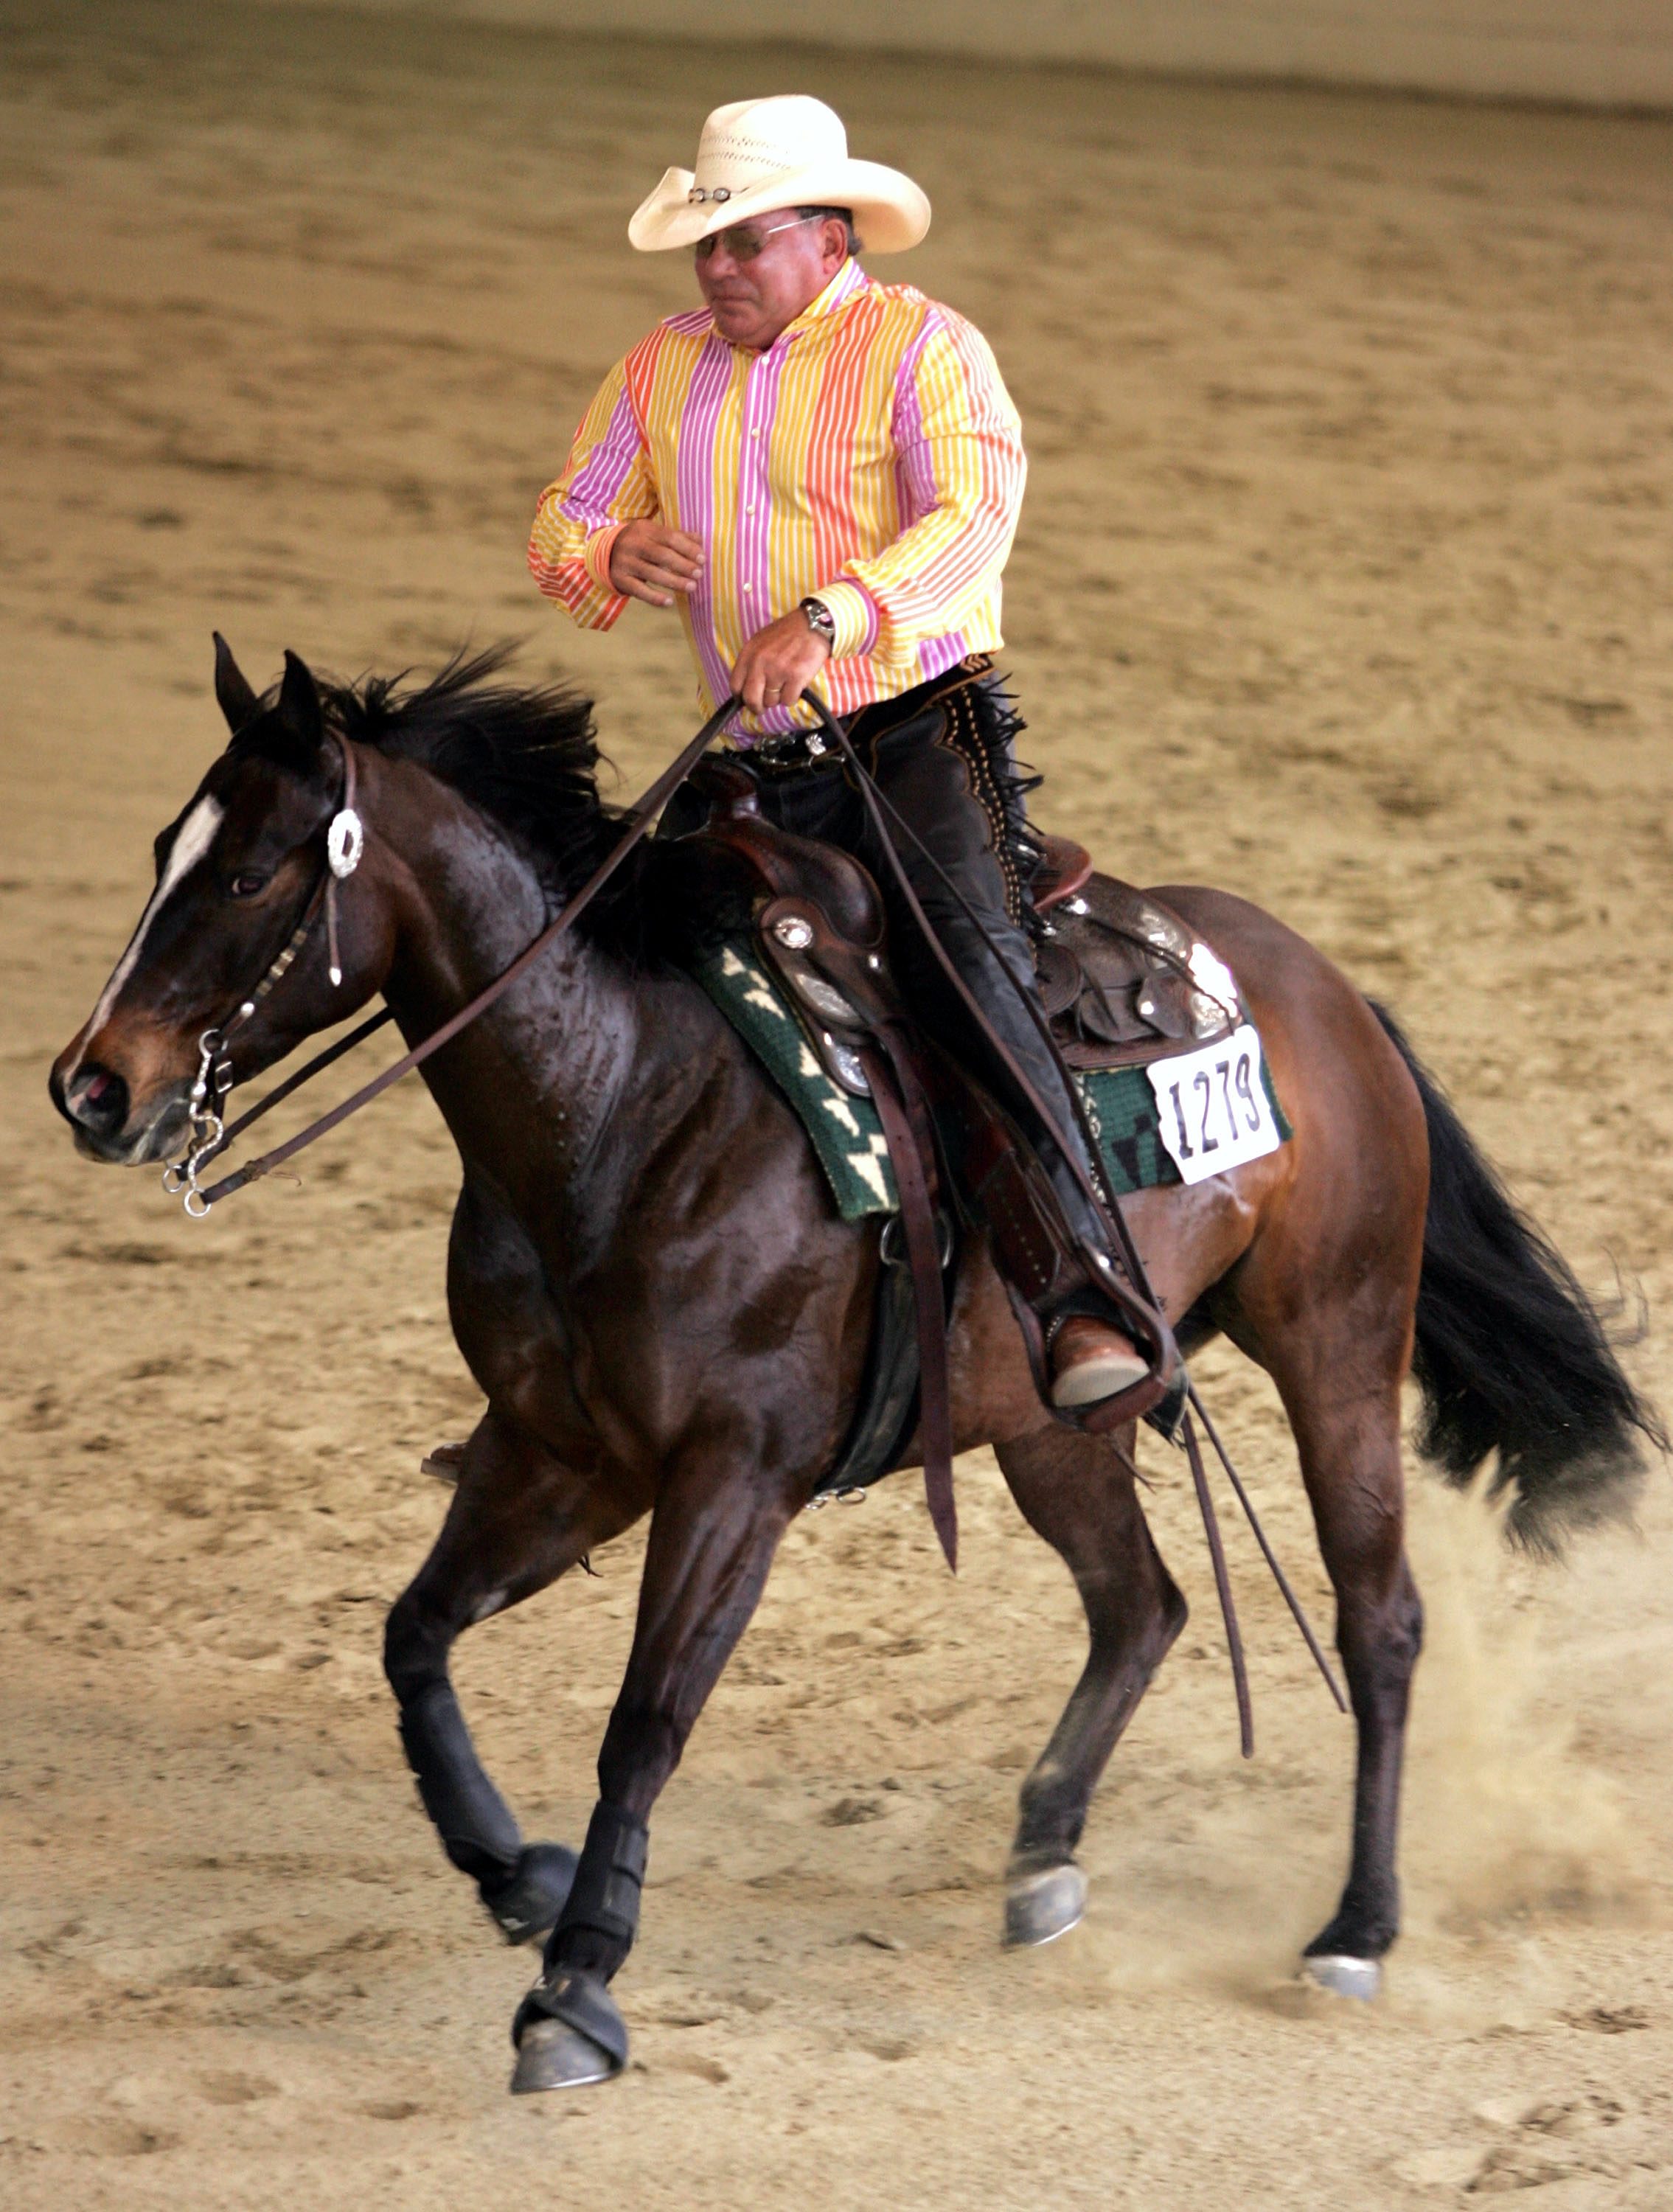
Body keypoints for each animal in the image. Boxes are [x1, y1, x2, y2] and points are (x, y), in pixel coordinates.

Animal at [49, 643, 1659, 2092]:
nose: (90, 1088)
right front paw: (518, 1877)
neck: (621, 1095)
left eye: (250, 876)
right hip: (1050, 1419)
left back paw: (1353, 1930)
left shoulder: (731, 1478)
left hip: (1334, 1339)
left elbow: (643, 1724)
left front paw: (576, 1988)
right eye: (162, 850)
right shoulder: (558, 1455)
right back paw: (1040, 1862)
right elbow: (412, 1639)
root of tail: (1329, 994)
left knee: (1376, 1621)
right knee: (1139, 1603)